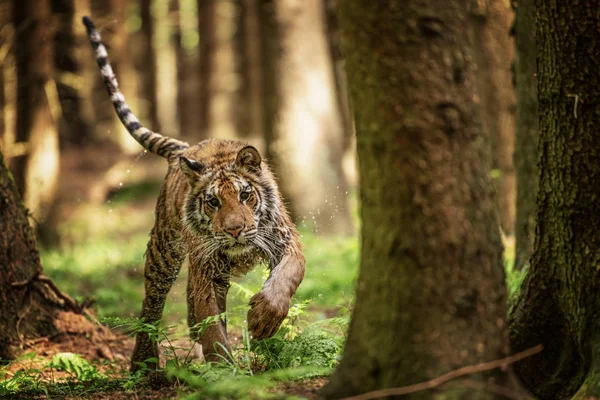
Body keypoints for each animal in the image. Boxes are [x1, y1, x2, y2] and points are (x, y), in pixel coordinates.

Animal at [81, 16, 304, 372]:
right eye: (213, 202)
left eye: (245, 196)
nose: (235, 230)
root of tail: (184, 148)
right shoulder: (207, 271)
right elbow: (211, 322)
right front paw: (225, 370)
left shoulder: (285, 239)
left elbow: (287, 277)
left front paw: (262, 320)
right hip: (163, 251)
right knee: (152, 305)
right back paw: (143, 363)